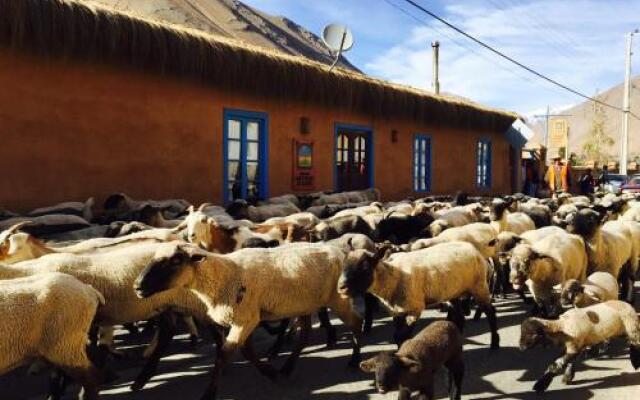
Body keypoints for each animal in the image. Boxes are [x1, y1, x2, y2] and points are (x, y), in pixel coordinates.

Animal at [134, 242, 364, 398]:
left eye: (175, 260)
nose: (137, 286)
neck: (225, 275)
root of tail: (337, 251)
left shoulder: (246, 319)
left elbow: (223, 356)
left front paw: (209, 394)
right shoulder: (244, 319)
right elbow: (247, 352)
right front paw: (270, 372)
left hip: (338, 298)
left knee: (356, 322)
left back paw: (354, 360)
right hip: (304, 304)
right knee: (304, 336)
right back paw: (287, 368)